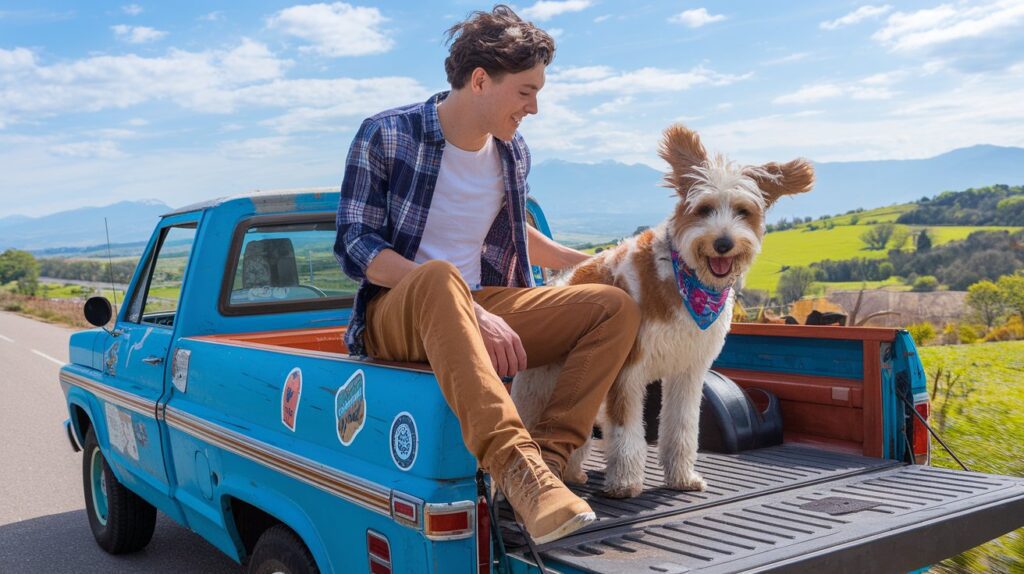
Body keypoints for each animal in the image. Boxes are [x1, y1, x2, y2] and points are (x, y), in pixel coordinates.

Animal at [512, 121, 815, 497]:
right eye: (705, 208)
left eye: (743, 211)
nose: (723, 243)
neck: (685, 280)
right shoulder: (627, 372)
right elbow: (627, 433)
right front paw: (626, 482)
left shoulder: (688, 371)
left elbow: (682, 428)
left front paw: (681, 477)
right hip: (538, 389)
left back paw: (571, 473)